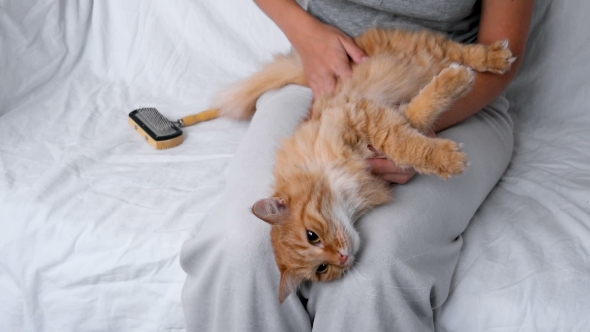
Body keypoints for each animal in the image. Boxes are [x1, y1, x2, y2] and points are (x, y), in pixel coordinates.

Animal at [212, 29, 512, 304]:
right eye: (322, 269)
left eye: (312, 236)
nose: (342, 257)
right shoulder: (387, 117)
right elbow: (415, 120)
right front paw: (444, 152)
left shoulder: (362, 117)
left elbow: (405, 142)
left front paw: (448, 154)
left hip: (422, 48)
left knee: (460, 51)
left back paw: (492, 58)